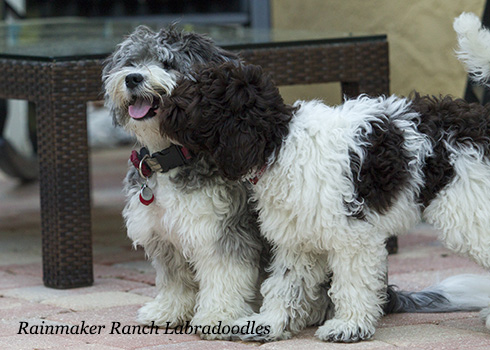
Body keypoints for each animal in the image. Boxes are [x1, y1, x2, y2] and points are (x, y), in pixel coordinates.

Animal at [101, 25, 270, 340]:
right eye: (131, 62)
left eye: (167, 64)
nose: (132, 78)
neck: (172, 156)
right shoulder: (164, 235)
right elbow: (175, 278)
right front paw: (168, 311)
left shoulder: (223, 230)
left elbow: (224, 276)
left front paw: (218, 316)